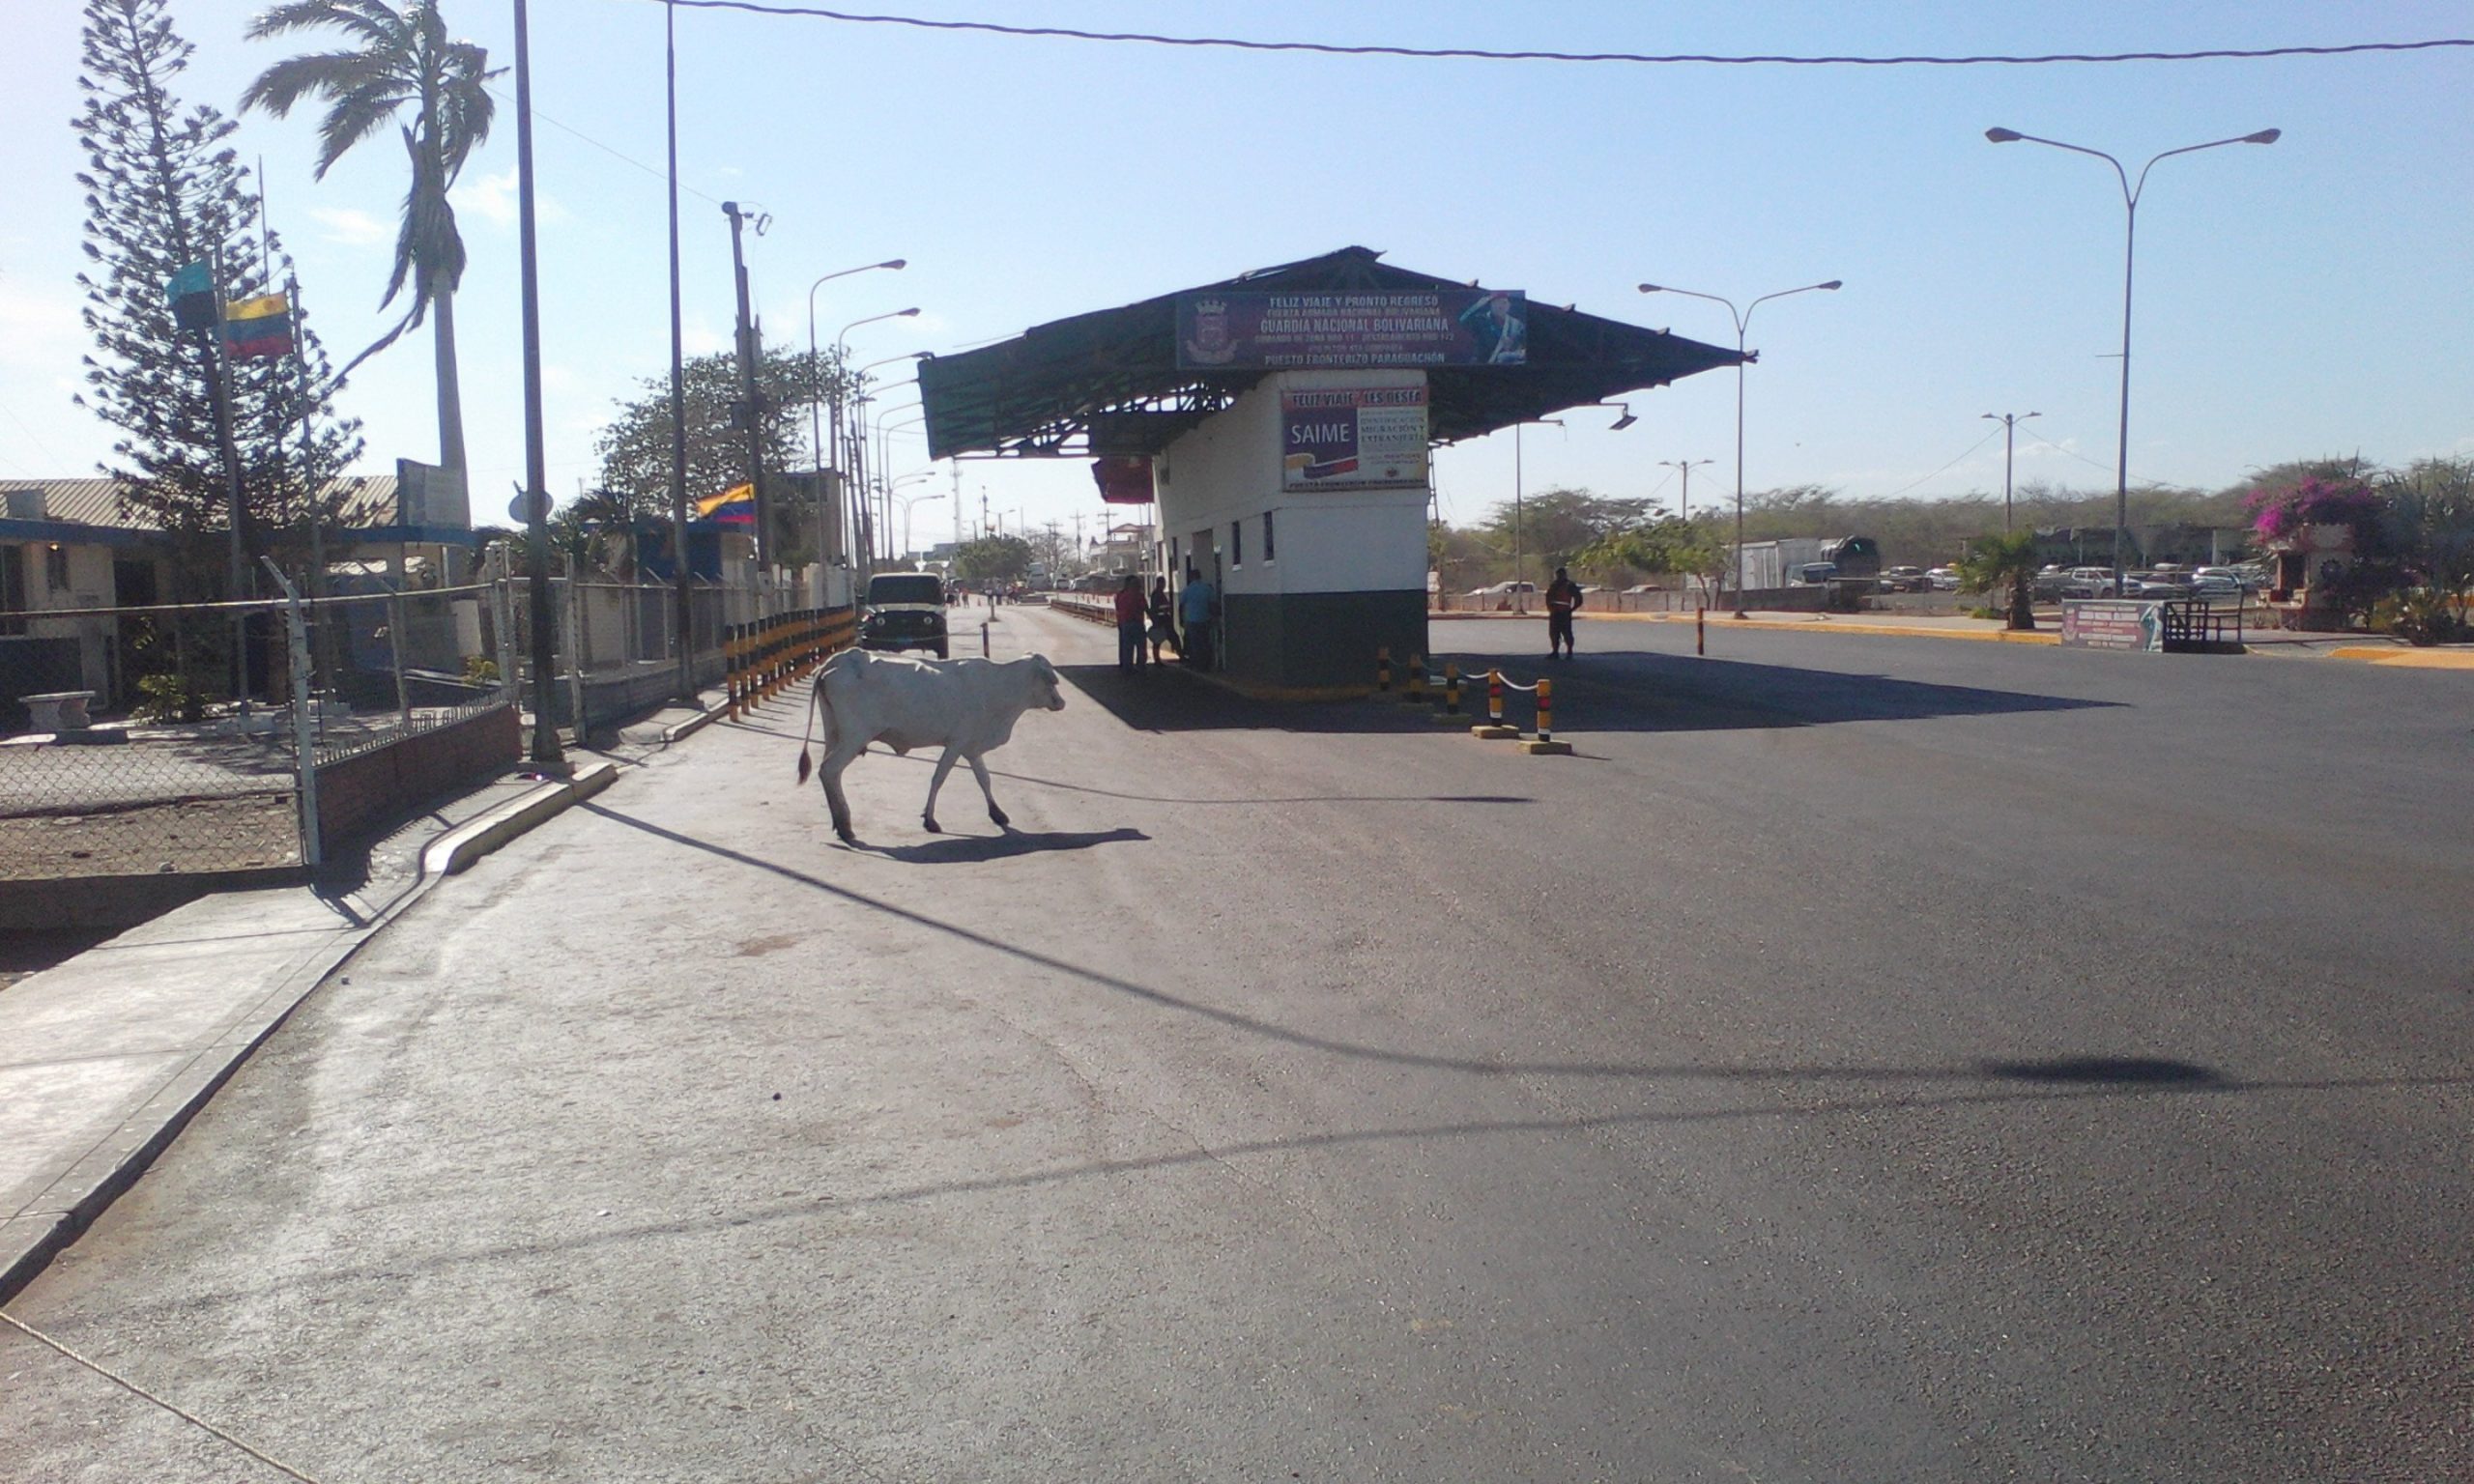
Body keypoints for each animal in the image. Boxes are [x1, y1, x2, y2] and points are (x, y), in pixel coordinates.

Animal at [791, 642, 1063, 841]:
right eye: (1050, 679)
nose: (1061, 702)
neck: (1000, 686)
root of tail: (841, 659)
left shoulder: (971, 747)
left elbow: (984, 778)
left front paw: (997, 813)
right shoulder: (956, 744)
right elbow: (938, 778)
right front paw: (930, 820)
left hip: (834, 734)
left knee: (830, 775)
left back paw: (838, 822)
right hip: (855, 737)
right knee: (829, 770)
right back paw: (846, 826)